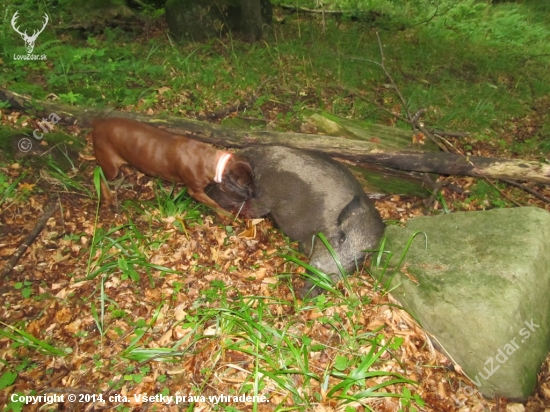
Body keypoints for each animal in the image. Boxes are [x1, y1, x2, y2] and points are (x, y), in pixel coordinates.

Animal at [92, 117, 258, 214]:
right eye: (247, 185)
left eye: (254, 179)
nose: (255, 194)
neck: (210, 161)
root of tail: (97, 124)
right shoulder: (195, 191)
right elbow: (214, 204)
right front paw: (228, 217)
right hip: (109, 166)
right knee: (99, 175)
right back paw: (108, 198)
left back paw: (128, 170)